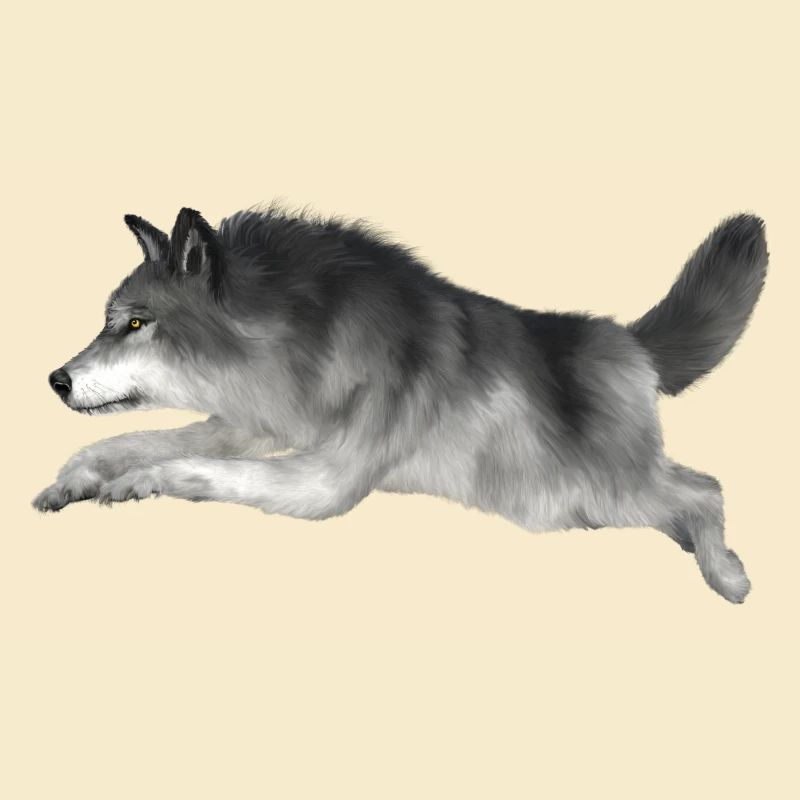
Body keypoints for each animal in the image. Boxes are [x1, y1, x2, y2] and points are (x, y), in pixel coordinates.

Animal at [32, 205, 768, 603]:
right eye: (109, 322)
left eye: (135, 323)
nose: (55, 380)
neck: (306, 338)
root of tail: (630, 341)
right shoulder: (255, 425)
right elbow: (130, 441)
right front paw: (74, 479)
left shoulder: (323, 480)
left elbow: (195, 469)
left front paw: (133, 484)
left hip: (593, 494)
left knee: (706, 489)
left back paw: (728, 576)